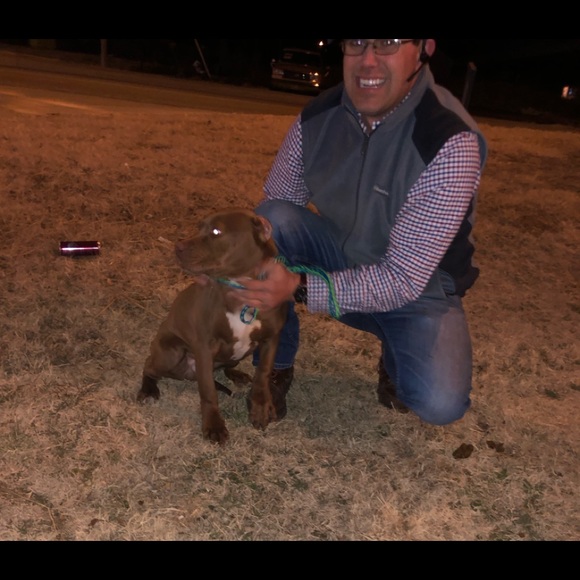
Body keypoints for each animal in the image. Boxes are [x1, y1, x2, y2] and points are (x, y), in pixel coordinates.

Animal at [137, 208, 288, 445]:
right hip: (171, 352)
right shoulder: (204, 347)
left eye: (216, 231)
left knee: (228, 365)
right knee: (148, 365)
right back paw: (148, 390)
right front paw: (214, 426)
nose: (177, 247)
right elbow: (208, 391)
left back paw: (238, 375)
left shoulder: (271, 339)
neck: (241, 289)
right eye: (199, 227)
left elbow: (263, 375)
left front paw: (260, 408)